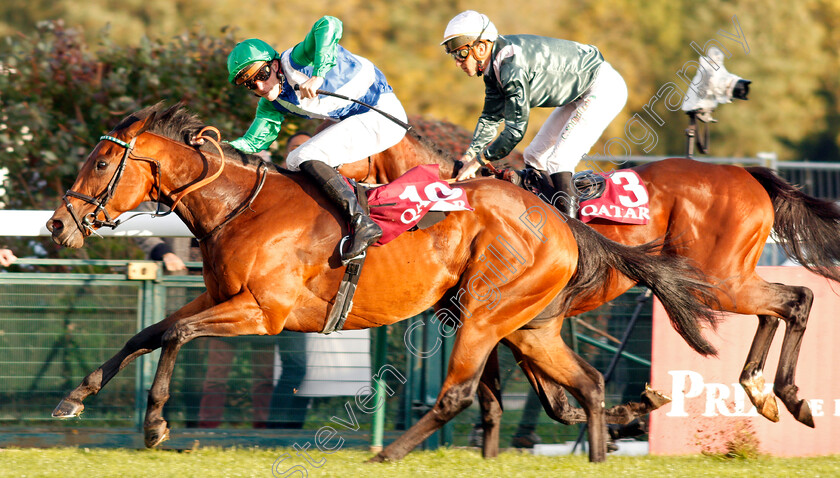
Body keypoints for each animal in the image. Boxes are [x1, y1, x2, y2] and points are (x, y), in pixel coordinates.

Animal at [44, 102, 720, 464]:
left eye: (101, 162)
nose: (57, 223)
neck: (241, 207)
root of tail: (559, 219)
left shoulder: (262, 311)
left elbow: (176, 335)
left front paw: (156, 423)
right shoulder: (219, 295)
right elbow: (147, 334)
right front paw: (75, 397)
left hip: (485, 315)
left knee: (462, 394)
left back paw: (388, 452)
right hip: (526, 325)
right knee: (587, 383)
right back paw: (608, 441)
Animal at [344, 126, 840, 456]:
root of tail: (747, 173)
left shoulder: (516, 321)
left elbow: (554, 400)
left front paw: (620, 426)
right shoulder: (499, 323)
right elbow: (540, 402)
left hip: (718, 283)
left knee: (798, 298)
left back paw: (788, 396)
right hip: (729, 280)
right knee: (777, 307)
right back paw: (760, 389)